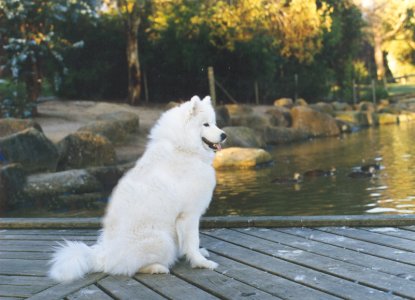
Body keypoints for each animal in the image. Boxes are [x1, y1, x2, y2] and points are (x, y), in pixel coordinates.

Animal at [48, 95, 228, 282]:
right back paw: (157, 268)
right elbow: (193, 240)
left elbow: (190, 243)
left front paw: (197, 254)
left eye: (214, 123)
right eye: (205, 124)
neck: (183, 147)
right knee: (128, 268)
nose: (224, 135)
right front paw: (201, 263)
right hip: (162, 240)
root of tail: (103, 257)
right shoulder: (189, 215)